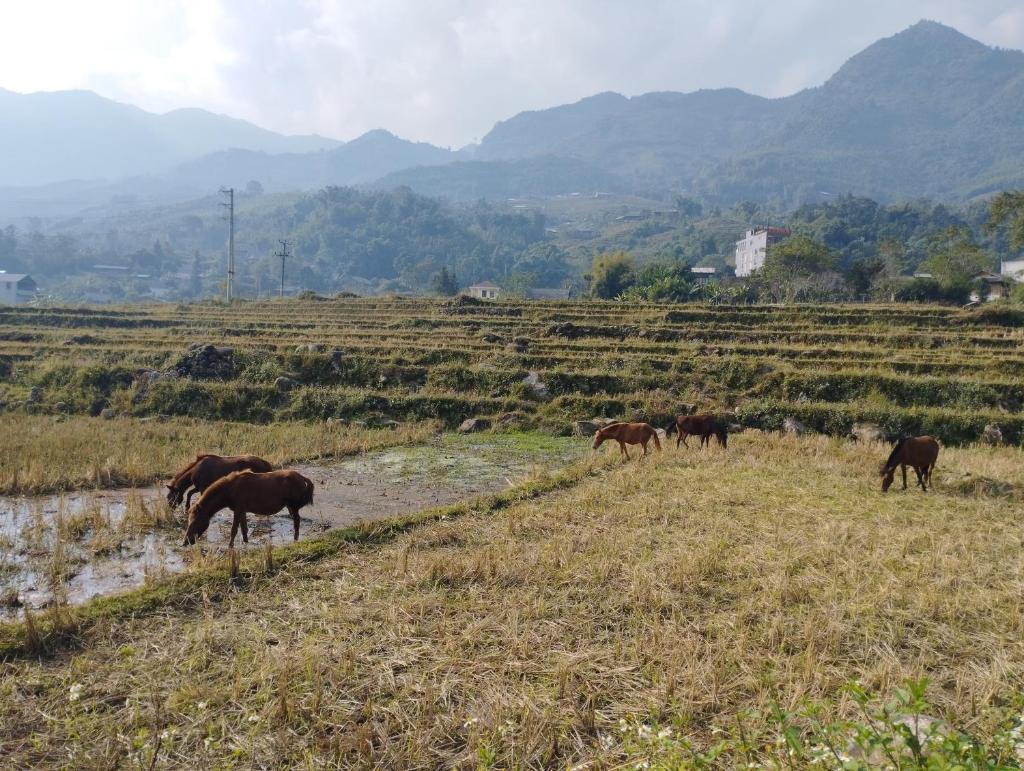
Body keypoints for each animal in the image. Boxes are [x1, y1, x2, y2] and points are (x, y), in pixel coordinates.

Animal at [182, 468, 313, 548]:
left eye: (194, 522)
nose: (185, 542)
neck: (229, 489)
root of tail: (302, 477)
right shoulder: (242, 511)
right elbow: (244, 529)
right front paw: (245, 542)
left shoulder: (238, 510)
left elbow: (234, 530)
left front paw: (230, 546)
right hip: (290, 507)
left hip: (293, 506)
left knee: (296, 521)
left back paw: (295, 539)